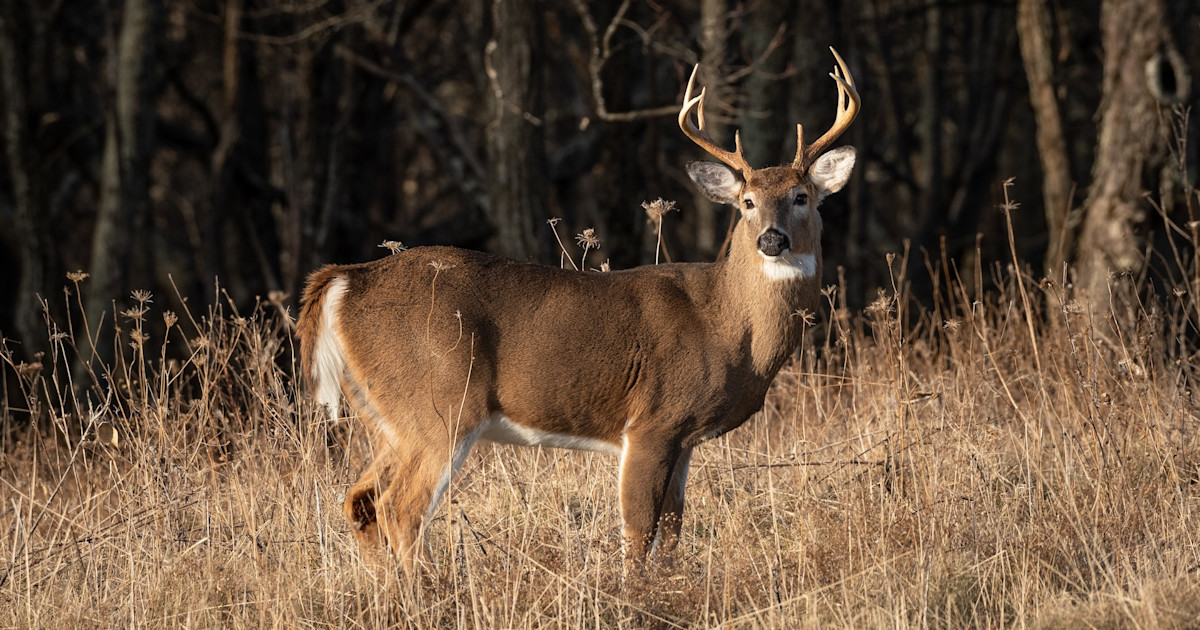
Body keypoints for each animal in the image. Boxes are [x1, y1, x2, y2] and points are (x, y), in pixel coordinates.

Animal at [297, 48, 859, 570]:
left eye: (801, 196)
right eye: (746, 202)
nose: (771, 239)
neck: (724, 325)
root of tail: (346, 279)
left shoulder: (685, 439)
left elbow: (673, 530)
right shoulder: (651, 422)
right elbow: (638, 532)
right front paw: (636, 596)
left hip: (384, 415)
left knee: (360, 502)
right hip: (438, 403)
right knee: (401, 508)